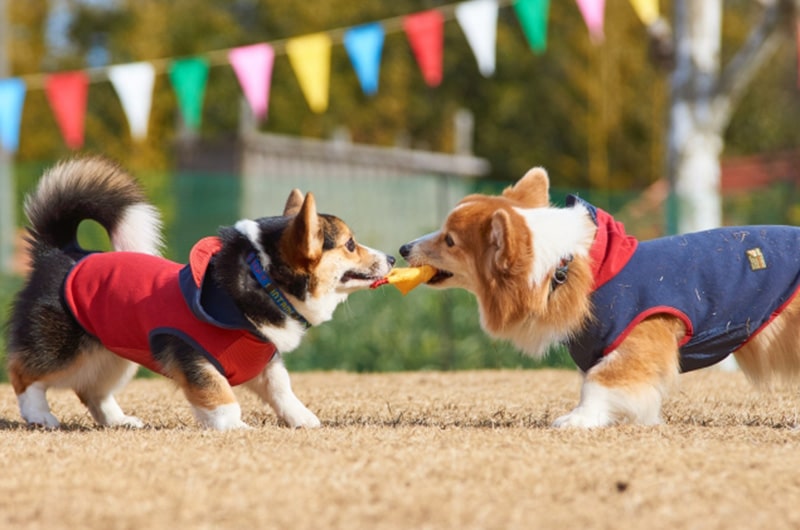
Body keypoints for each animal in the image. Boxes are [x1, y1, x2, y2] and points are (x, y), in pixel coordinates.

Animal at [5, 157, 394, 428]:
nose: (391, 257)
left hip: (114, 354)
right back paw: (40, 415)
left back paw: (120, 421)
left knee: (92, 391)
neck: (263, 279)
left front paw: (303, 419)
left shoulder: (265, 361)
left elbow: (283, 390)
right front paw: (236, 427)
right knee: (24, 373)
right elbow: (221, 397)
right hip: (62, 348)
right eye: (350, 244)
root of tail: (61, 250)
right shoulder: (195, 358)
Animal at [400, 167, 800, 426]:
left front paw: (578, 419)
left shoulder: (638, 337)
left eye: (450, 240)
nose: (404, 248)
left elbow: (597, 383)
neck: (561, 268)